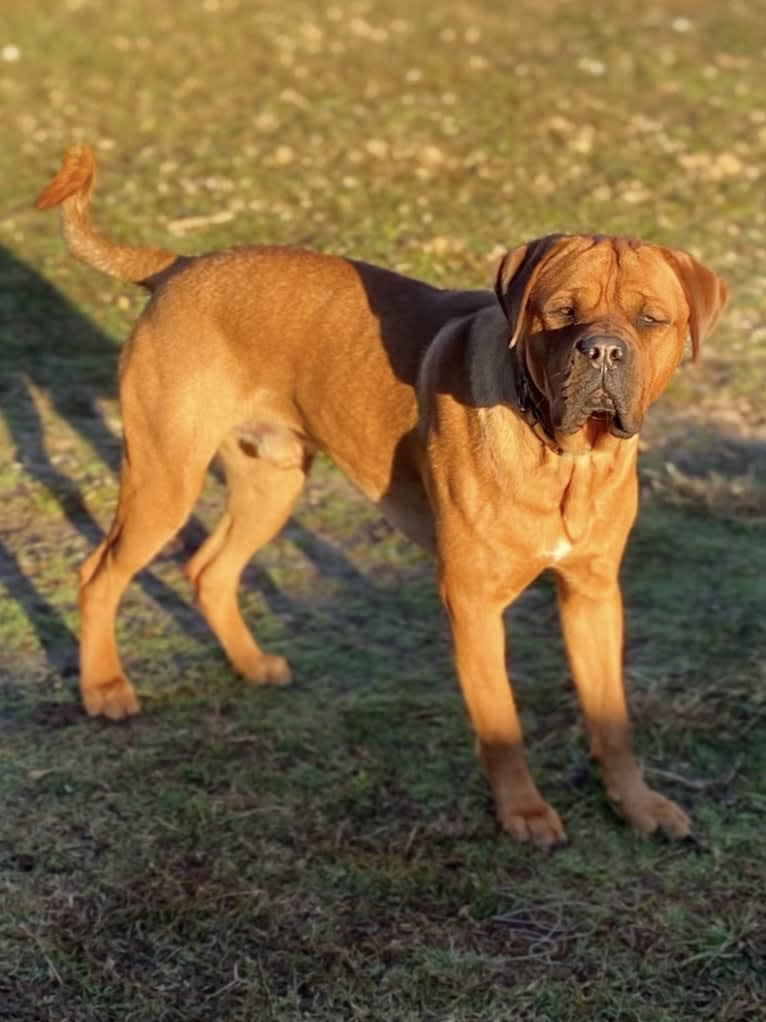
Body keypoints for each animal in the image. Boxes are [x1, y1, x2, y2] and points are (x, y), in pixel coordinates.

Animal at [37, 144, 731, 846]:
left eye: (651, 320)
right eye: (562, 311)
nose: (603, 351)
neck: (564, 456)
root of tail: (180, 266)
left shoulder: (593, 594)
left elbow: (612, 719)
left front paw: (637, 804)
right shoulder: (473, 603)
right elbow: (501, 724)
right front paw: (525, 813)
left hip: (272, 483)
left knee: (210, 570)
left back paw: (251, 664)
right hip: (165, 477)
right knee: (98, 574)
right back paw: (104, 687)